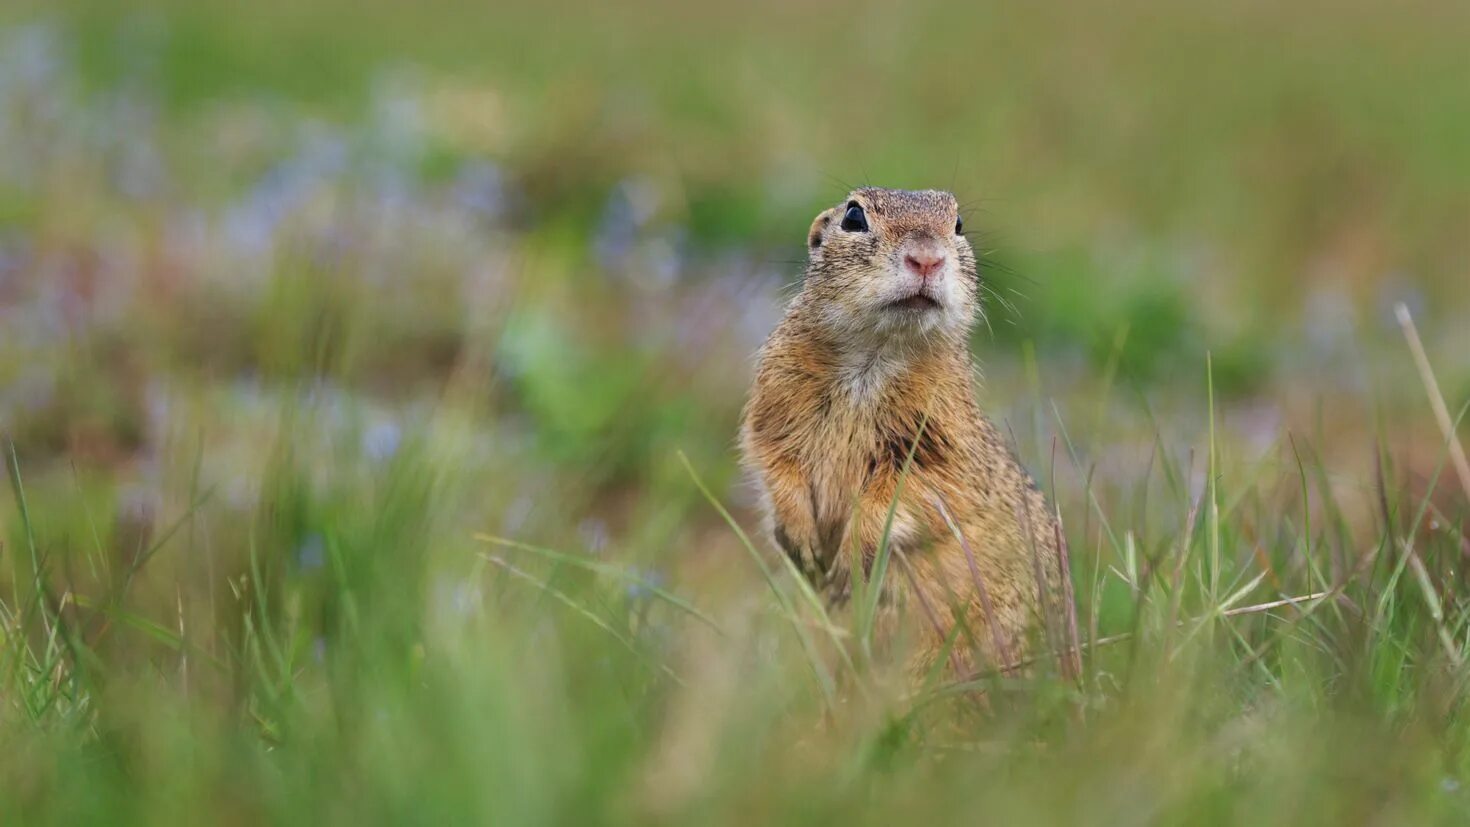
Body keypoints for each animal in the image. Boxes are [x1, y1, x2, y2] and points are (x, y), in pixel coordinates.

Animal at [740, 189, 1064, 678]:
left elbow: (915, 491)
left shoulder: (943, 440)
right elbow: (774, 459)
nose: (927, 258)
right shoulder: (773, 403)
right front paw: (802, 544)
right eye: (854, 217)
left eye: (958, 224)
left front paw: (849, 560)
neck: (875, 353)